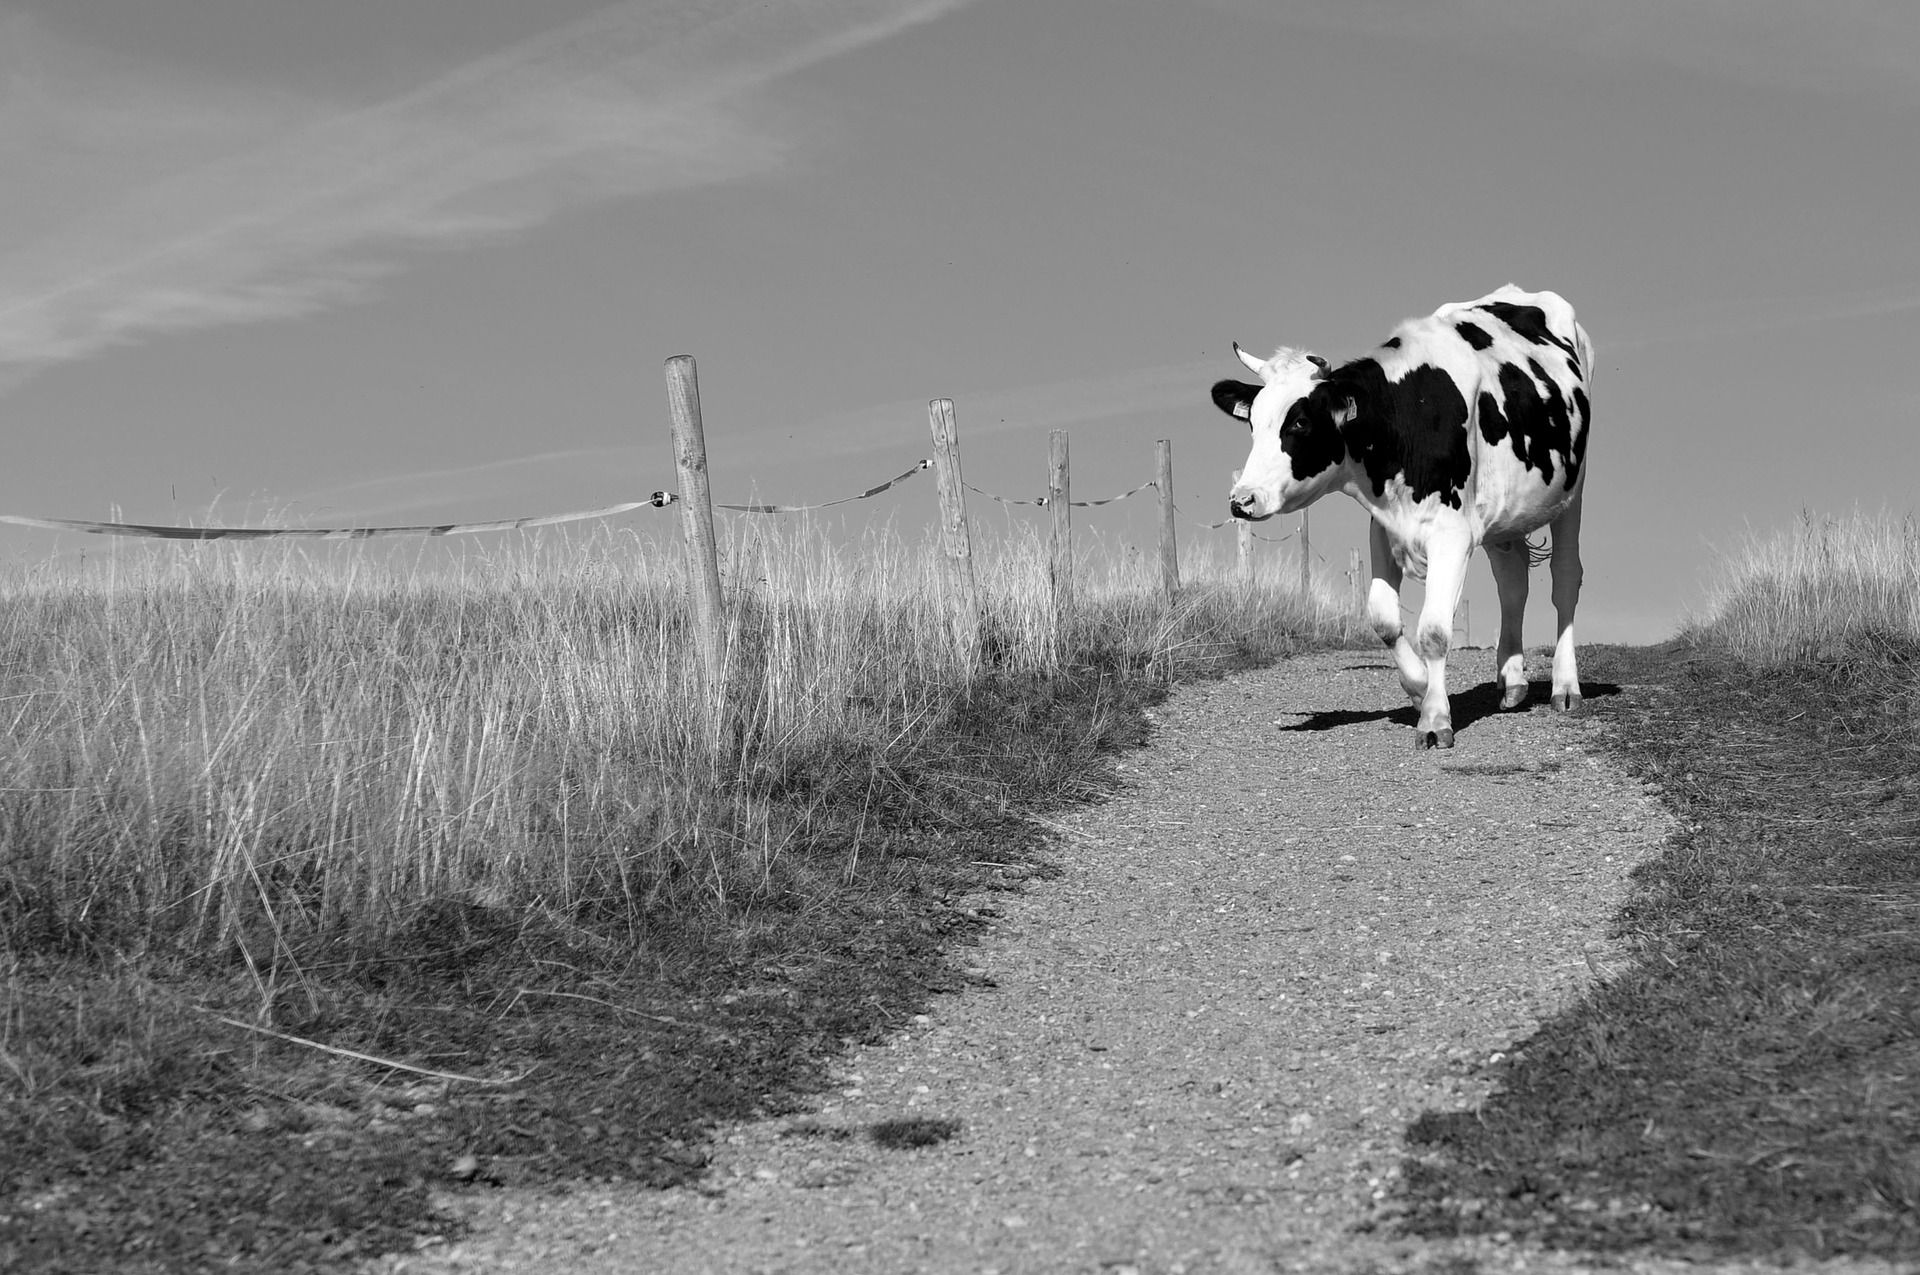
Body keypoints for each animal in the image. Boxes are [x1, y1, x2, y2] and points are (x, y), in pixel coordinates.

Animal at [1211, 285, 1591, 749]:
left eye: (1300, 422)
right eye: (1252, 423)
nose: (1242, 500)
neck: (1405, 420)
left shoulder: (1451, 535)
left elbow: (1434, 631)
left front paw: (1435, 718)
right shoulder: (1384, 528)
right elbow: (1384, 619)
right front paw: (1418, 687)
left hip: (1573, 490)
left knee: (1565, 579)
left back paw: (1565, 686)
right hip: (1504, 513)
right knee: (1513, 583)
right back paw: (1512, 679)